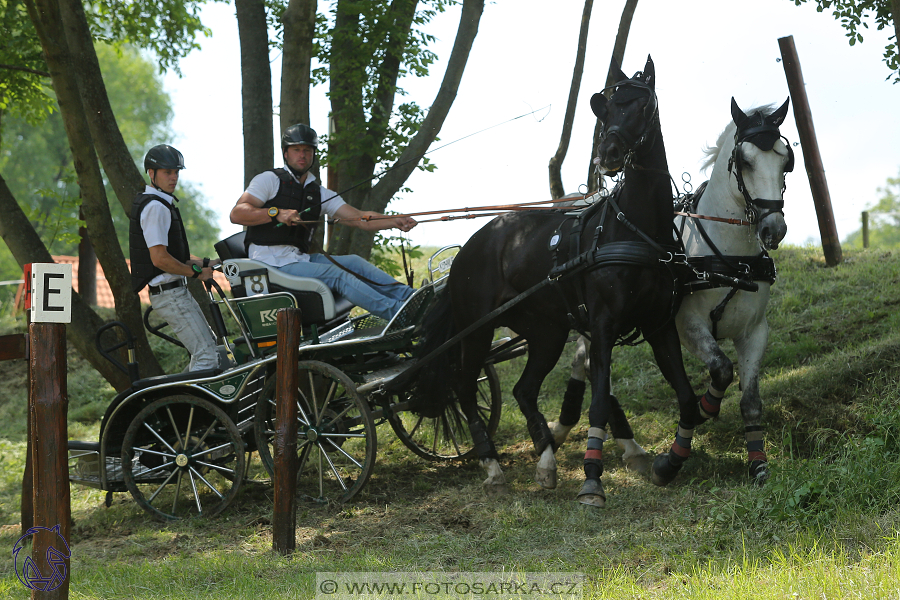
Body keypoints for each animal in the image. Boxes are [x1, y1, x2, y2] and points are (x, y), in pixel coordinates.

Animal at [420, 57, 696, 506]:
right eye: (605, 106)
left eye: (642, 105)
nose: (609, 154)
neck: (634, 230)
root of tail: (469, 247)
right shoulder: (603, 325)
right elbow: (599, 400)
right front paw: (592, 481)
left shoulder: (657, 324)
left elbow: (686, 396)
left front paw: (668, 464)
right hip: (475, 330)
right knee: (464, 386)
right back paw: (493, 466)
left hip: (546, 332)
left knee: (524, 390)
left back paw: (546, 461)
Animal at [552, 97, 792, 482]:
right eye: (745, 161)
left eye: (786, 160)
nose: (774, 228)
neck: (729, 258)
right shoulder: (688, 326)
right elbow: (721, 369)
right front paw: (702, 412)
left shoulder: (755, 331)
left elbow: (751, 402)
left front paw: (758, 463)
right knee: (592, 367)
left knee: (584, 362)